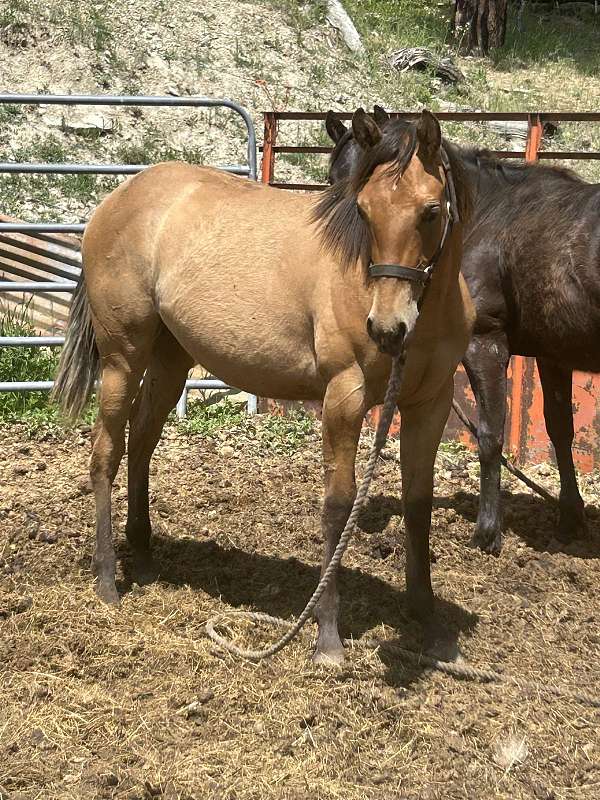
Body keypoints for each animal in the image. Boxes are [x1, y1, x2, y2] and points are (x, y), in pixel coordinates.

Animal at [53, 109, 474, 664]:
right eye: (363, 211)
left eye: (430, 211)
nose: (386, 329)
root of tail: (117, 199)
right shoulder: (344, 397)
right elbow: (338, 505)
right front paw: (327, 637)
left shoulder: (432, 403)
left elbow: (419, 505)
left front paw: (430, 625)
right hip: (123, 359)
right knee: (106, 451)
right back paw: (107, 580)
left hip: (171, 360)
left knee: (142, 443)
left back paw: (143, 557)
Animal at [326, 106, 600, 554]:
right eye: (334, 177)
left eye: (428, 211)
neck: (490, 218)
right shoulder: (552, 355)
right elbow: (561, 430)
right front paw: (570, 518)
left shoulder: (484, 344)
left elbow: (490, 435)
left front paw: (488, 531)